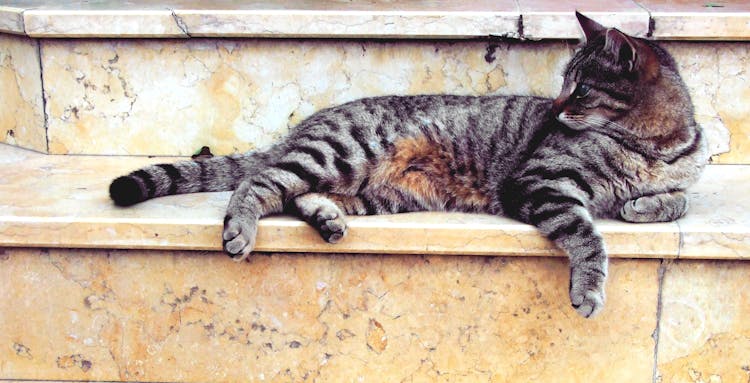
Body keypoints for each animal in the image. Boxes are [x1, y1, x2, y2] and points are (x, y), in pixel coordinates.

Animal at [108, 12, 708, 318]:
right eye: (564, 84)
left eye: (579, 88)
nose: (557, 107)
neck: (655, 145)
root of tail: (304, 126)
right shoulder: (539, 182)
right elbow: (587, 236)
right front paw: (590, 285)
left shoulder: (679, 177)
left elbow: (679, 199)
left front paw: (644, 205)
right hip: (342, 152)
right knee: (261, 181)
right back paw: (239, 228)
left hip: (380, 192)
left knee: (298, 194)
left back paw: (327, 219)